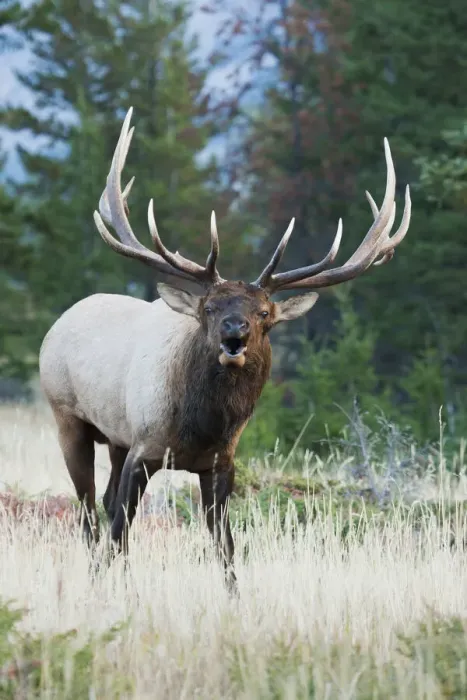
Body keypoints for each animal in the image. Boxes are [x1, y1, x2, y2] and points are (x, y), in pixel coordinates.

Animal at [39, 108, 411, 592]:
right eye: (209, 307)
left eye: (265, 312)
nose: (235, 330)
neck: (200, 427)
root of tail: (61, 320)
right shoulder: (144, 448)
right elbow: (120, 530)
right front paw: (106, 589)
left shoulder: (221, 464)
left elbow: (226, 548)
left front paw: (233, 598)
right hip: (68, 417)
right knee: (88, 510)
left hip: (116, 436)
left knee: (102, 501)